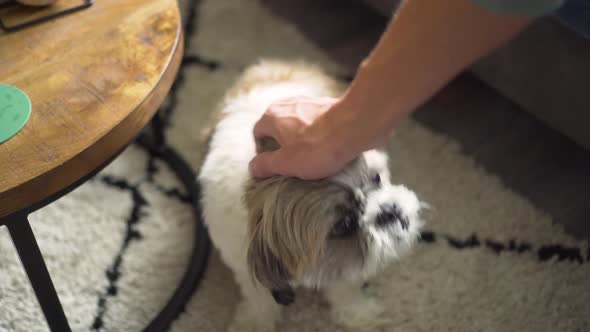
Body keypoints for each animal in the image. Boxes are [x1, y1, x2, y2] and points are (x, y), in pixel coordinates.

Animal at [199, 61, 426, 330]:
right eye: (345, 224)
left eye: (376, 179)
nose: (389, 210)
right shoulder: (243, 263)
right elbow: (259, 298)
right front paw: (254, 322)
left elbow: (346, 289)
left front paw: (358, 313)